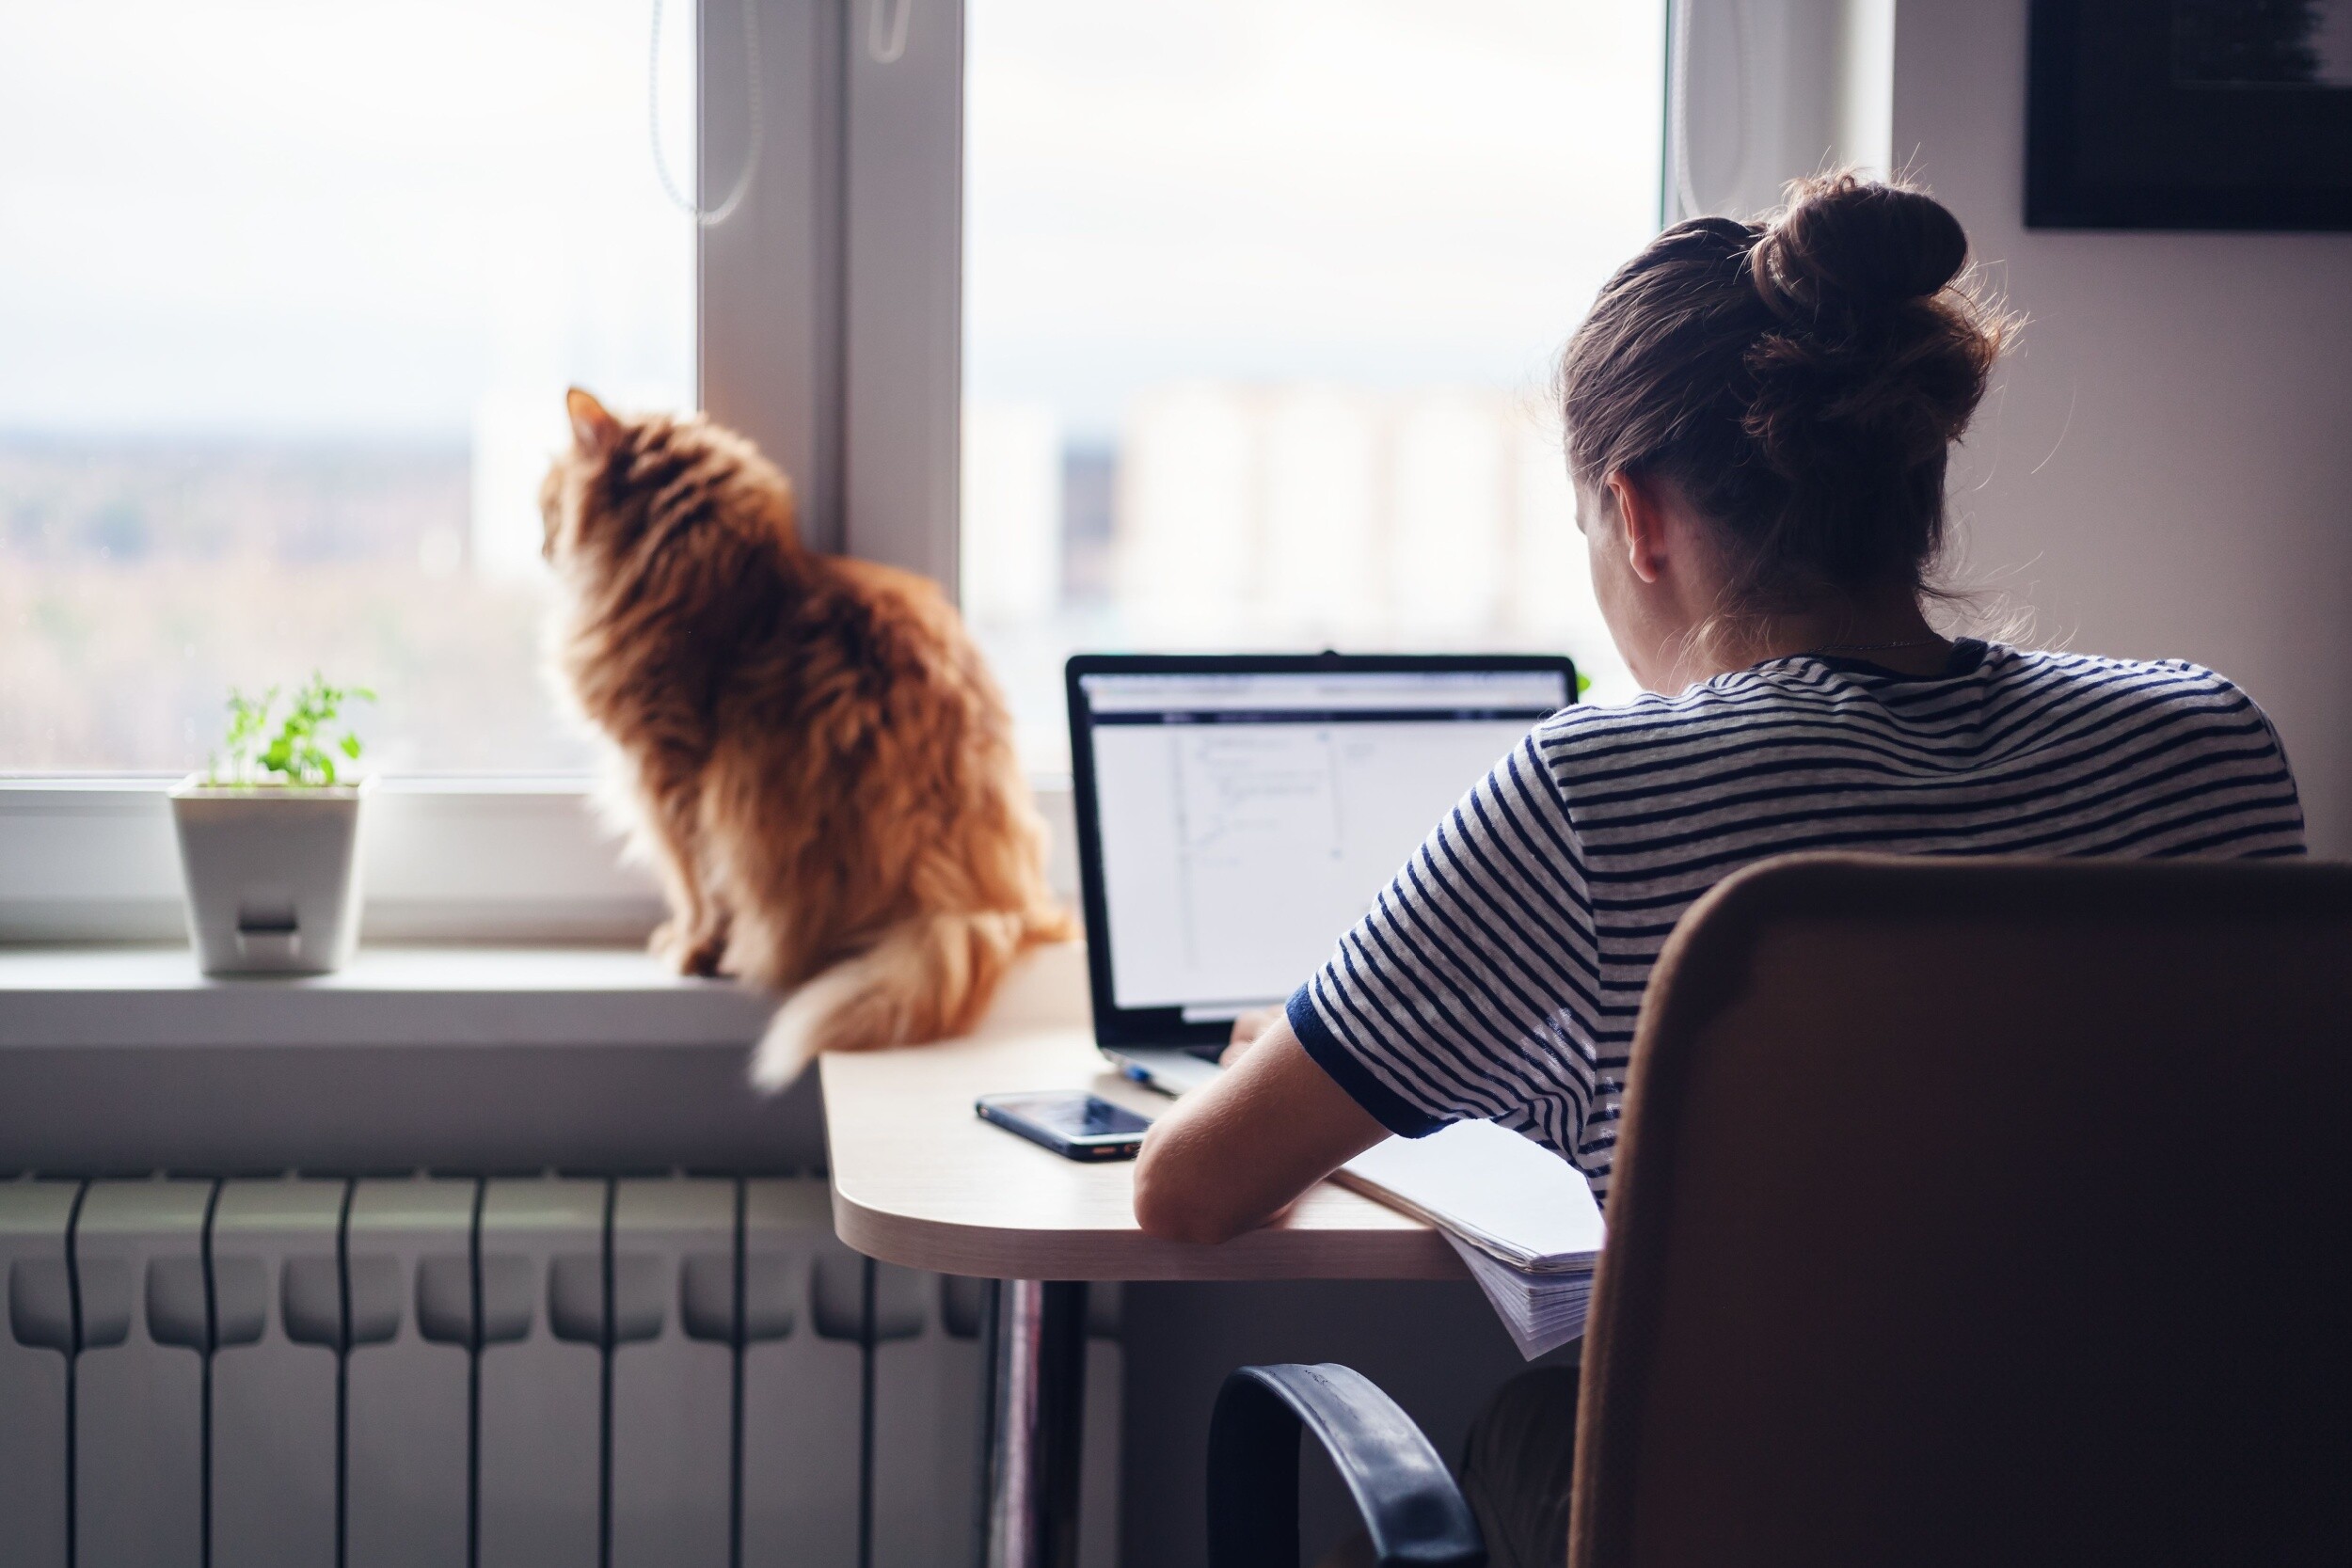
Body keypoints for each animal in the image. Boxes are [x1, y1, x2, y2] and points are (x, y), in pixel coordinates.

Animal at [538, 385, 1073, 1085]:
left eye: (547, 502)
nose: (541, 545)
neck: (719, 580)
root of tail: (978, 902)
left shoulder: (670, 775)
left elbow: (695, 886)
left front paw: (690, 948)